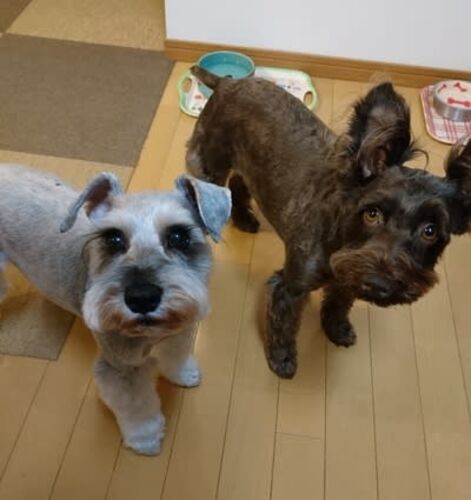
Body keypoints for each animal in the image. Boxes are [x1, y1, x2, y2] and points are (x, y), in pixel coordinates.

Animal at [0, 165, 231, 454]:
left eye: (179, 236)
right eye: (113, 238)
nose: (141, 298)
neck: (151, 335)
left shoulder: (177, 332)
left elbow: (175, 354)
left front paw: (183, 374)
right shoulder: (120, 366)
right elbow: (136, 404)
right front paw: (146, 438)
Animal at [186, 65, 471, 379]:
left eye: (430, 231)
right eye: (372, 213)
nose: (381, 283)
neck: (340, 235)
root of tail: (226, 83)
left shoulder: (349, 277)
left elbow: (338, 304)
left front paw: (336, 329)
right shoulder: (290, 287)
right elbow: (283, 323)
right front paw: (282, 359)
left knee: (239, 183)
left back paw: (244, 218)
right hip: (209, 161)